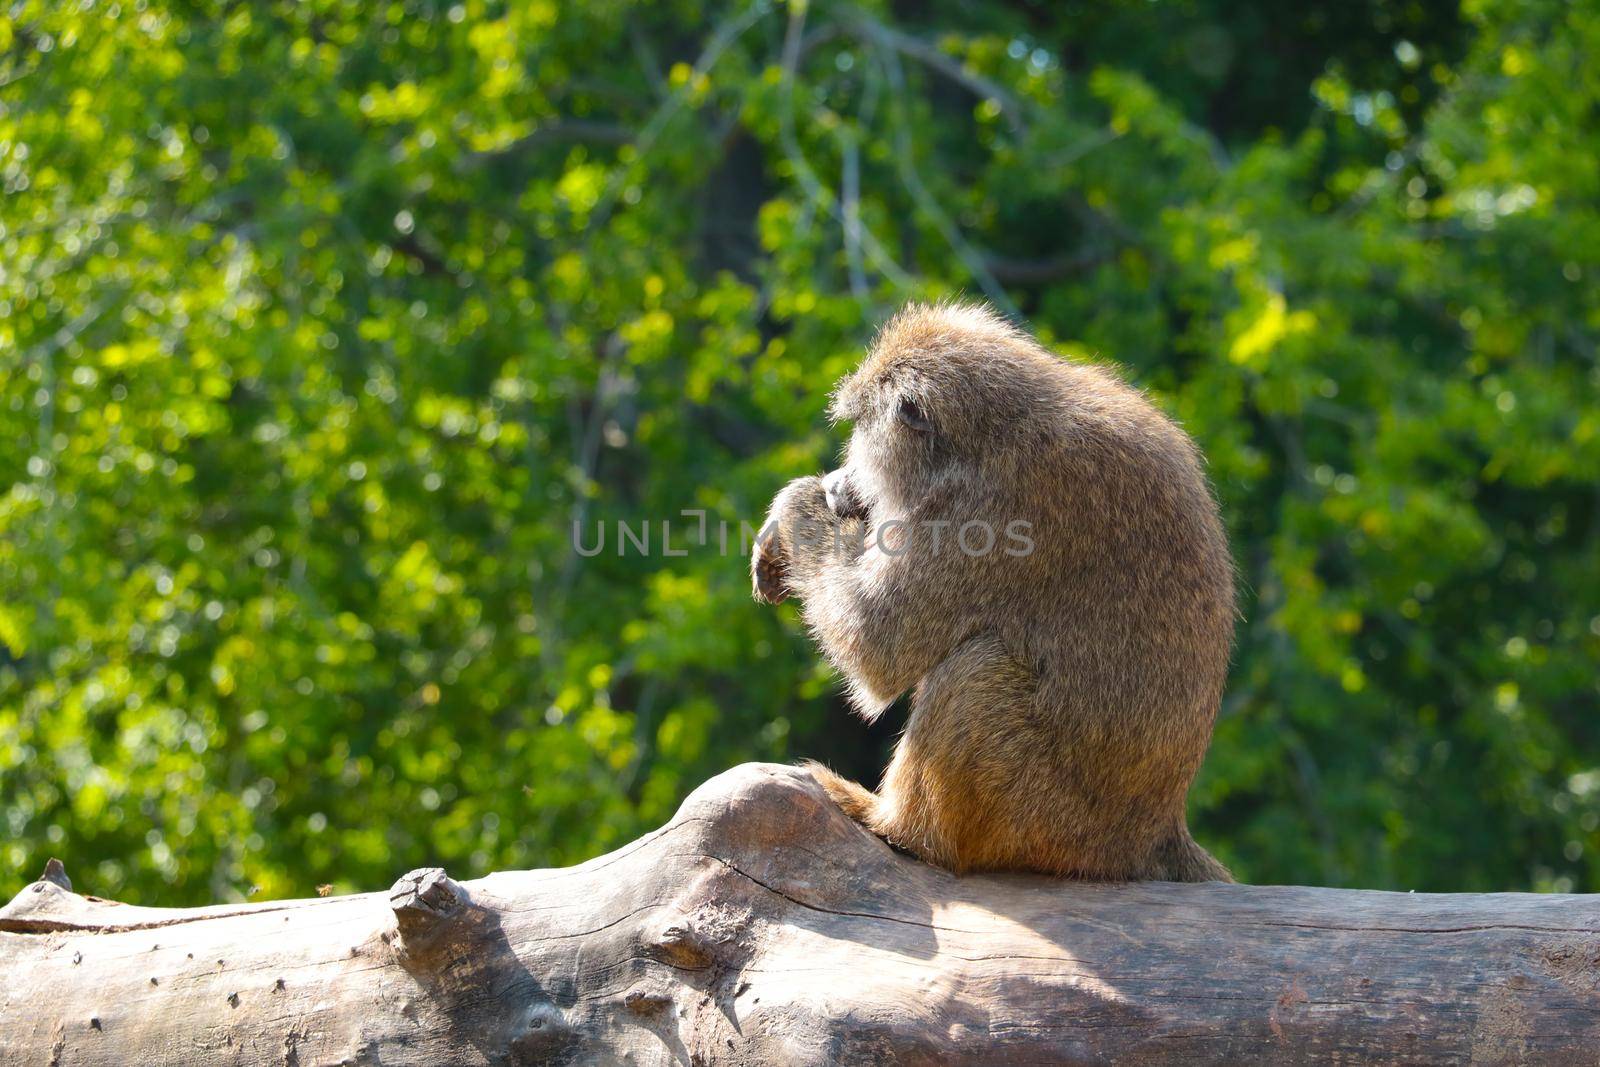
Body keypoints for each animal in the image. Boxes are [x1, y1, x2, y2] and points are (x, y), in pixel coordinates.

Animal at [752, 300, 1235, 883]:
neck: (992, 433)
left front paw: (796, 502)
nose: (840, 481)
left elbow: (878, 648)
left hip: (1046, 820)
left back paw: (900, 828)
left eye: (860, 434)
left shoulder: (980, 515)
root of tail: (1153, 832)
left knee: (976, 670)